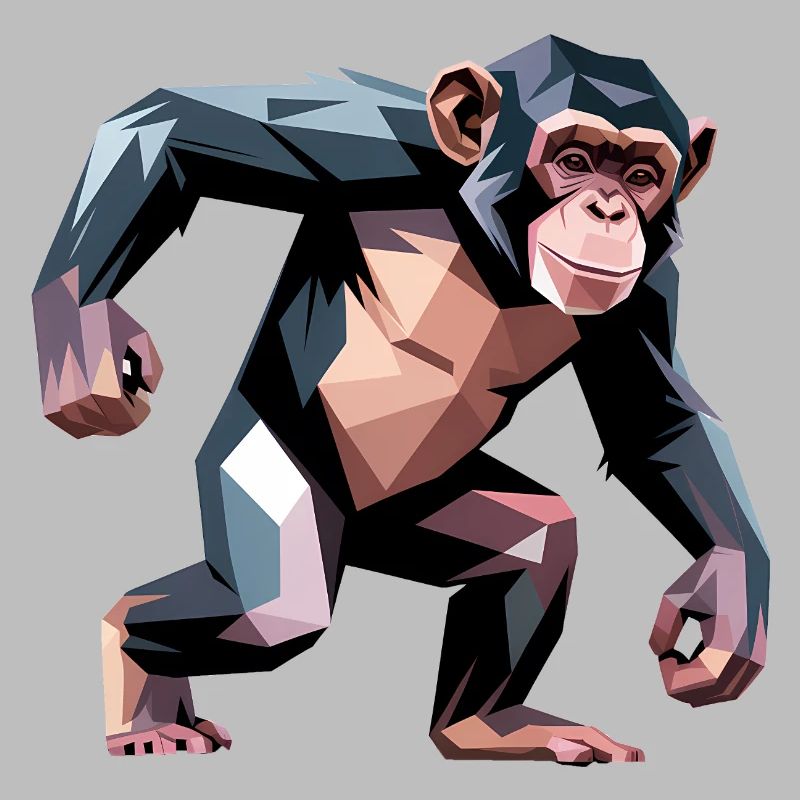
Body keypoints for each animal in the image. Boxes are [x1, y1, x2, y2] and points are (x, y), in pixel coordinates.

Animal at [32, 35, 769, 764]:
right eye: (574, 161)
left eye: (642, 177)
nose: (610, 210)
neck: (494, 252)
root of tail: (361, 534)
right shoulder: (376, 143)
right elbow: (177, 130)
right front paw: (85, 338)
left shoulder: (649, 285)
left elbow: (656, 421)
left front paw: (726, 601)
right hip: (274, 469)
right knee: (271, 615)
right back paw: (137, 678)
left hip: (425, 514)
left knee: (539, 542)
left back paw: (485, 726)